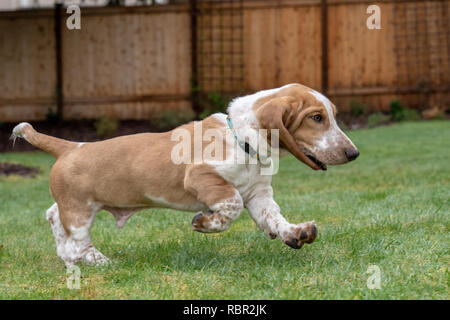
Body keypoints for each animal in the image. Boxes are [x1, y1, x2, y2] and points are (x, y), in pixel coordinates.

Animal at [11, 84, 358, 266]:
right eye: (316, 118)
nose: (354, 154)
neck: (240, 137)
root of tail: (69, 146)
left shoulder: (258, 195)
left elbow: (273, 218)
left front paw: (295, 233)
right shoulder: (204, 178)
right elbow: (230, 205)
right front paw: (205, 223)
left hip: (74, 206)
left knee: (54, 218)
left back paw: (69, 257)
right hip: (81, 210)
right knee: (78, 240)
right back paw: (98, 261)